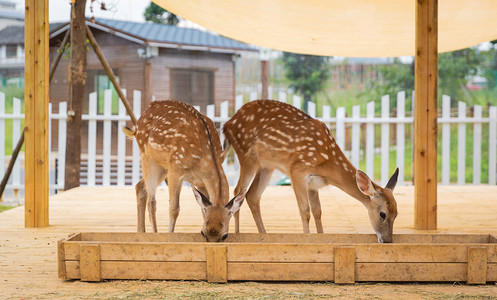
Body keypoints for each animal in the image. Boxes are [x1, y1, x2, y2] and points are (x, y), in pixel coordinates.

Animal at [122, 100, 246, 241]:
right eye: (203, 233)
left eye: (225, 236)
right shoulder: (176, 168)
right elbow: (174, 208)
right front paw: (170, 235)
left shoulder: (201, 182)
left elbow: (202, 211)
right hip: (147, 156)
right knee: (152, 200)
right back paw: (154, 234)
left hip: (162, 166)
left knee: (140, 187)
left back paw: (141, 233)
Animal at [223, 99, 398, 243]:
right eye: (382, 214)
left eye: (396, 213)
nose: (387, 241)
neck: (327, 163)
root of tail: (227, 125)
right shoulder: (297, 170)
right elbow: (305, 210)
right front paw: (307, 240)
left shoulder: (314, 183)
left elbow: (317, 211)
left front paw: (320, 237)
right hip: (247, 155)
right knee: (238, 191)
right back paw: (237, 234)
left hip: (267, 166)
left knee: (252, 195)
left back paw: (263, 235)